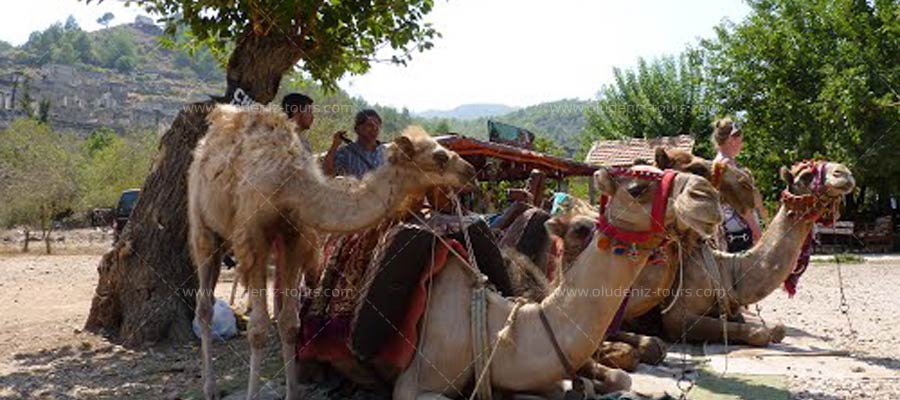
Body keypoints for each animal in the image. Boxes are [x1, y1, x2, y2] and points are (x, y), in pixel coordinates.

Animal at [187, 104, 475, 400]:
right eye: (439, 156)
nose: (471, 170)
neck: (291, 187)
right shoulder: (253, 237)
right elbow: (258, 329)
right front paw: (253, 394)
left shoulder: (295, 237)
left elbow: (289, 323)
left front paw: (293, 392)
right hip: (203, 224)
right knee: (205, 304)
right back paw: (210, 387)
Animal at [659, 159, 855, 345]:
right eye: (806, 175)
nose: (844, 173)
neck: (725, 269)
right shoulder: (675, 317)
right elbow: (761, 333)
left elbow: (778, 327)